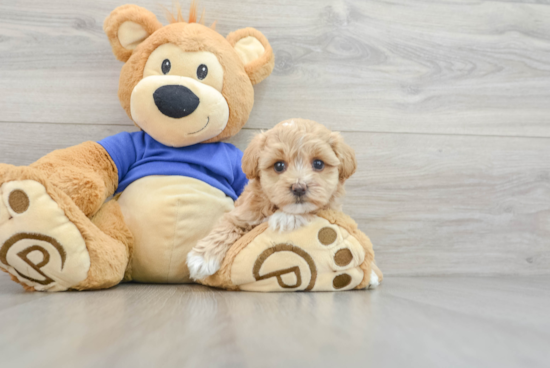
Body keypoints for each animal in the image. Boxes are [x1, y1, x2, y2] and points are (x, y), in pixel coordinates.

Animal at [188, 119, 358, 280]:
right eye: (279, 166)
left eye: (318, 163)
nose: (299, 188)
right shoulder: (243, 213)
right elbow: (227, 227)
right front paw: (201, 259)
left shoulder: (330, 209)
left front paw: (286, 218)